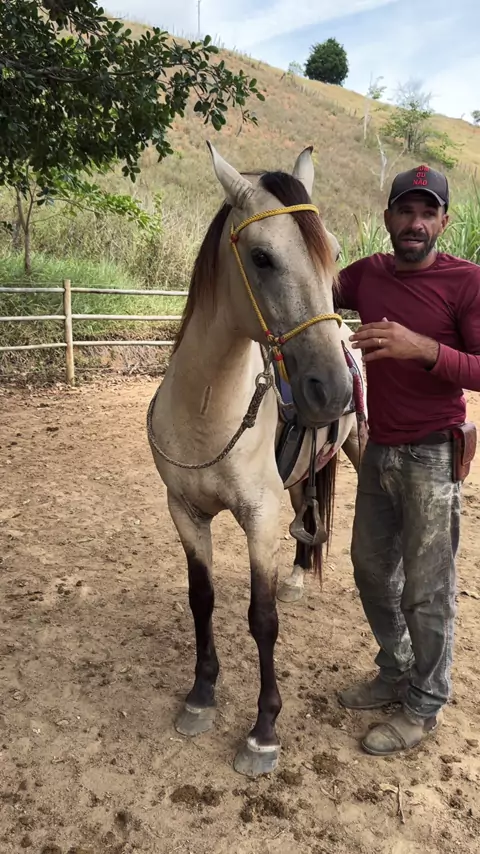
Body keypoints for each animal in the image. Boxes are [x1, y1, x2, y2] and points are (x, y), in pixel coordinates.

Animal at [146, 142, 365, 778]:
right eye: (262, 258)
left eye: (333, 252)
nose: (332, 389)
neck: (205, 408)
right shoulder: (185, 512)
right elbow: (202, 600)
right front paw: (200, 696)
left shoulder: (258, 518)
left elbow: (261, 619)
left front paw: (263, 731)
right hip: (300, 477)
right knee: (308, 521)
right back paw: (297, 576)